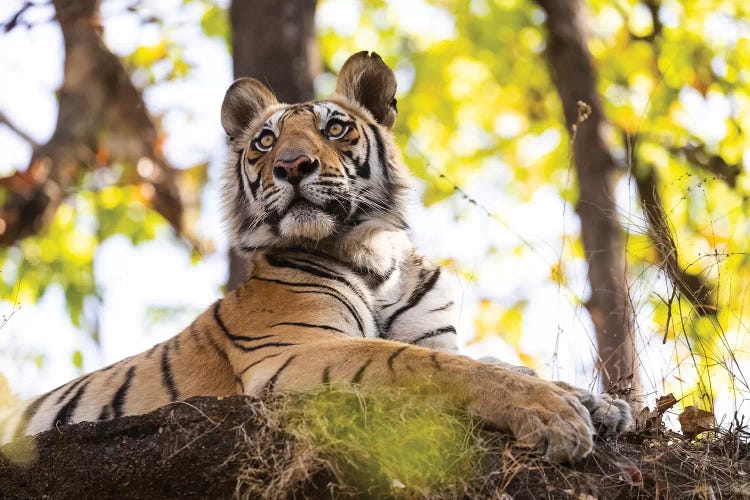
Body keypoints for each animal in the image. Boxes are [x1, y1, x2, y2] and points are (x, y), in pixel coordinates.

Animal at [1, 52, 636, 462]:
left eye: (336, 129)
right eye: (265, 141)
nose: (292, 165)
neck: (375, 258)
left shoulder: (432, 335)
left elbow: (494, 362)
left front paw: (601, 403)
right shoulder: (290, 351)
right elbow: (425, 365)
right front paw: (554, 414)